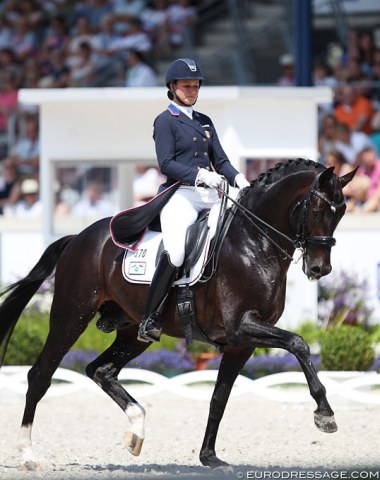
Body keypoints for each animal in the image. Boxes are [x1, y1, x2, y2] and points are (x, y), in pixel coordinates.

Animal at [0, 157, 356, 468]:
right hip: (70, 317)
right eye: (318, 208)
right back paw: (28, 455)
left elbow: (219, 398)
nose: (320, 269)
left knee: (100, 370)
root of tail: (79, 238)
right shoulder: (242, 327)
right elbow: (299, 343)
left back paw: (136, 431)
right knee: (40, 375)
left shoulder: (241, 344)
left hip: (133, 331)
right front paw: (325, 413)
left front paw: (209, 458)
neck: (254, 242)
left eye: (342, 212)